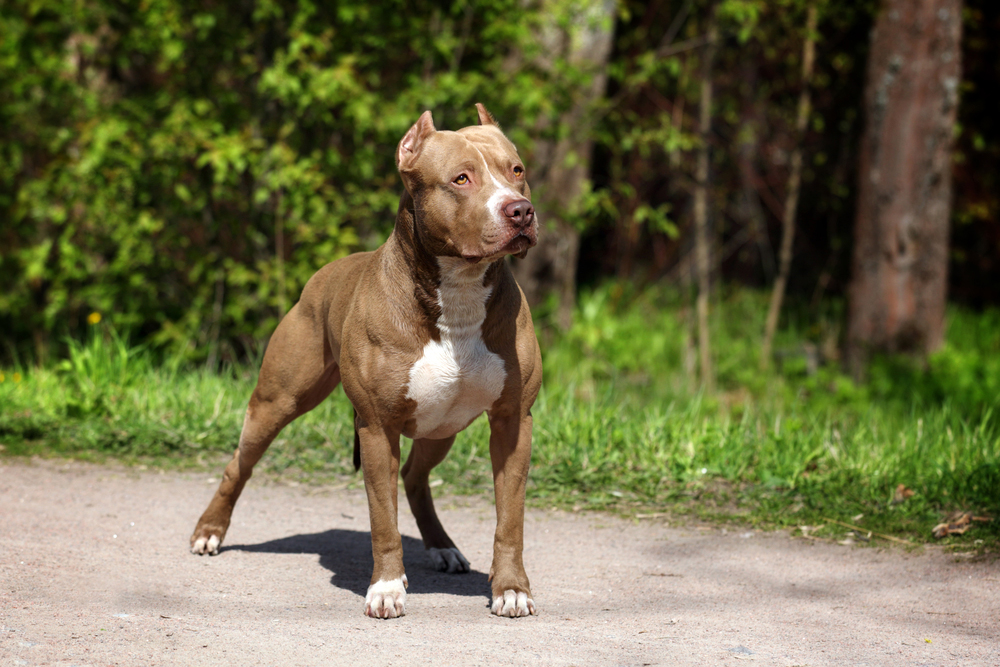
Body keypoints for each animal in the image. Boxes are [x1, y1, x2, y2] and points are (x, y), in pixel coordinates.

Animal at [191, 104, 544, 620]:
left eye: (516, 171)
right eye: (461, 179)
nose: (520, 211)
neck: (456, 293)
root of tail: (323, 273)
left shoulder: (512, 422)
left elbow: (511, 519)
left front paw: (511, 588)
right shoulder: (377, 427)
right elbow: (383, 519)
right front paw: (386, 589)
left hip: (442, 425)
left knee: (415, 477)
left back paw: (442, 546)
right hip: (277, 401)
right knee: (240, 464)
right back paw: (209, 531)